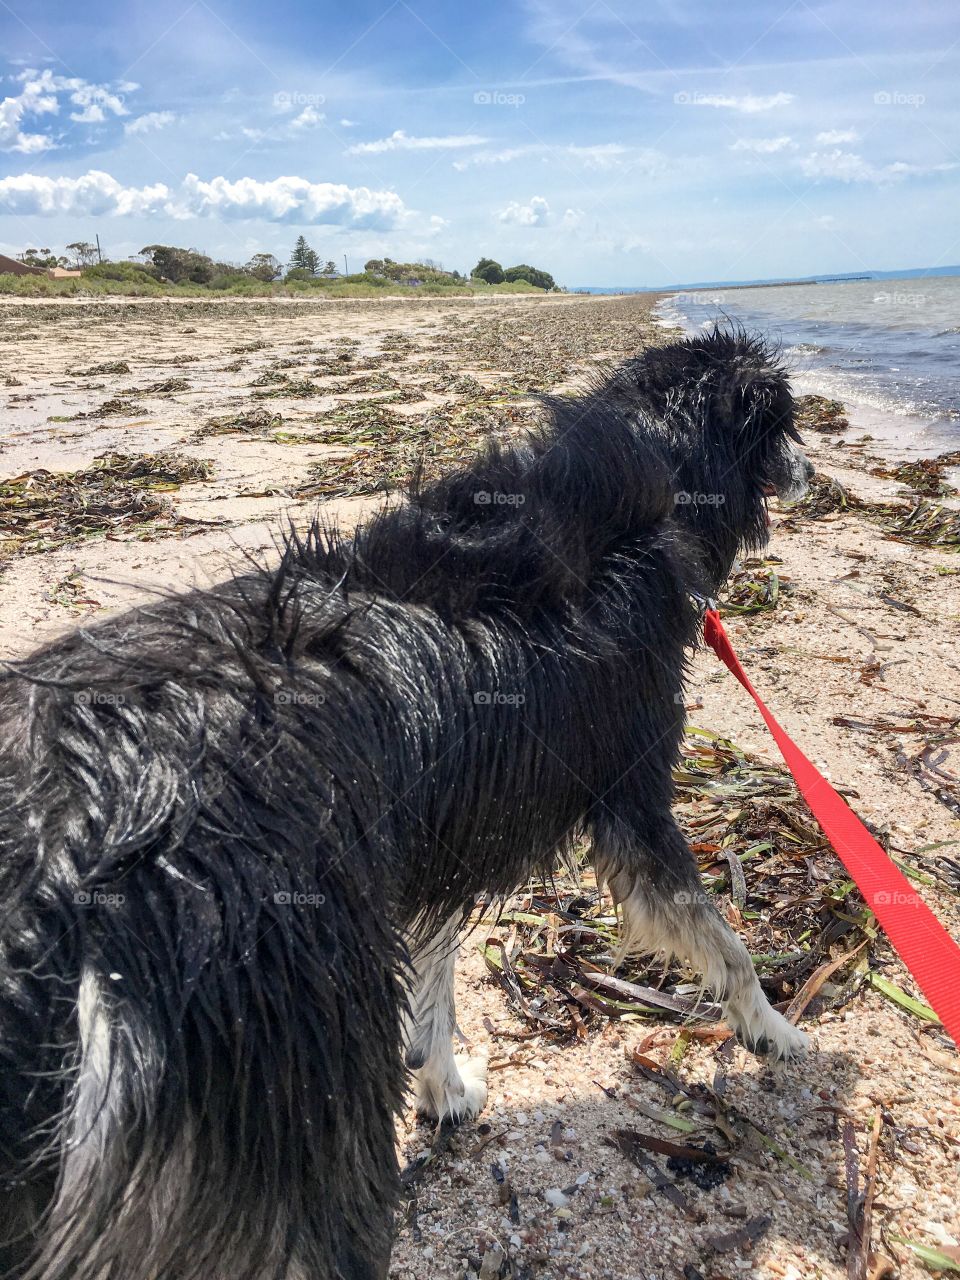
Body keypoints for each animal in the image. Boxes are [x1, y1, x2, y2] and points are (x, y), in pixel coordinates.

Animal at [0, 332, 814, 1280]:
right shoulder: (628, 798)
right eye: (787, 427)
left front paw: (442, 1085)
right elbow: (725, 941)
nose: (814, 470)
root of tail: (64, 862)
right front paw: (774, 1031)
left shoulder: (453, 814)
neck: (665, 459)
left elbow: (436, 963)